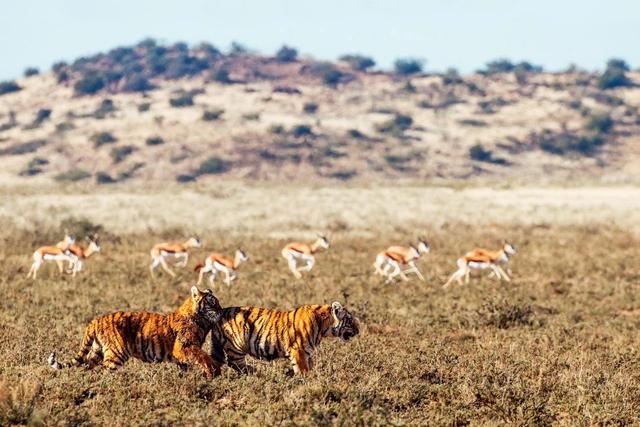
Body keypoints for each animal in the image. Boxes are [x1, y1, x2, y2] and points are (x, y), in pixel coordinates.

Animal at [48, 286, 222, 380]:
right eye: (213, 302)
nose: (221, 311)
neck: (202, 321)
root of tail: (95, 320)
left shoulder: (182, 355)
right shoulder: (184, 347)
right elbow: (203, 356)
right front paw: (214, 372)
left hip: (97, 352)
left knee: (87, 366)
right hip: (116, 354)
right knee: (104, 371)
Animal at [210, 300, 360, 374]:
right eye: (350, 320)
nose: (358, 331)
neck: (324, 327)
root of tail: (221, 311)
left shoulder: (307, 353)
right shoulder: (299, 351)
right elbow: (303, 371)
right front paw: (307, 383)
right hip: (236, 346)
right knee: (234, 363)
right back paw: (256, 373)